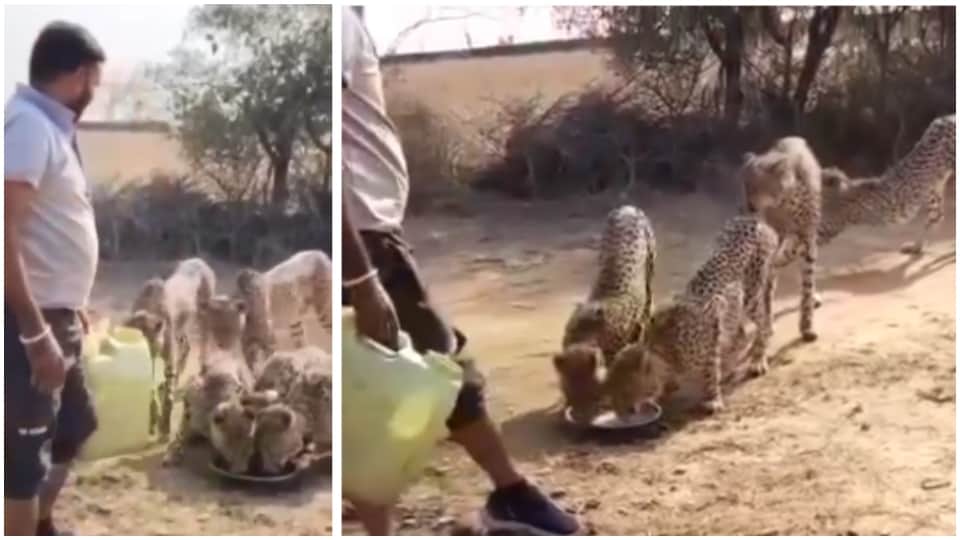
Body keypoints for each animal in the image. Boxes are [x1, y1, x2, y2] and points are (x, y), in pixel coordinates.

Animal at [123, 258, 216, 439]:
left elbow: (168, 397)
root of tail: (199, 260)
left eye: (146, 341)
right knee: (186, 346)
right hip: (183, 328)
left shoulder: (168, 360)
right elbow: (152, 390)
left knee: (204, 341)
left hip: (204, 316)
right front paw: (153, 421)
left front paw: (164, 427)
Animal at [553, 205, 656, 424]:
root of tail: (628, 208)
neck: (585, 335)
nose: (581, 417)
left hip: (650, 271)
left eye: (591, 394)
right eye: (570, 394)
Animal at [603, 215, 779, 416]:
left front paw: (713, 399)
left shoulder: (711, 325)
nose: (620, 411)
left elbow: (710, 374)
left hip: (752, 294)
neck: (665, 351)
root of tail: (753, 219)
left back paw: (758, 359)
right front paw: (667, 389)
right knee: (741, 330)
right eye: (611, 390)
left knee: (763, 323)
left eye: (625, 390)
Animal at [740, 136, 822, 342]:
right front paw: (767, 324)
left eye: (756, 186)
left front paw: (807, 326)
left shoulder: (807, 240)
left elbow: (807, 286)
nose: (748, 206)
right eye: (744, 186)